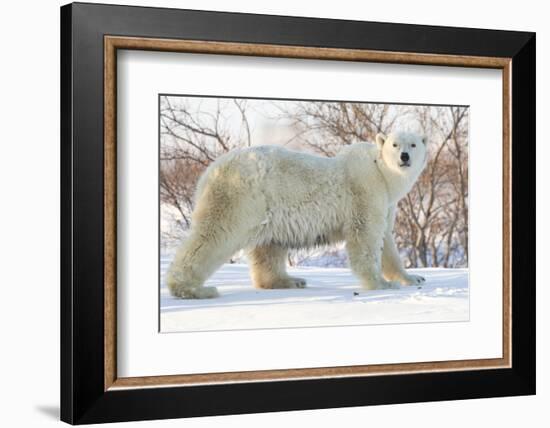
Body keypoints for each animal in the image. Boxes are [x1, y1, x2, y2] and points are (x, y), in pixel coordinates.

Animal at [166, 132, 430, 300]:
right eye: (394, 144)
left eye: (414, 144)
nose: (404, 156)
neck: (381, 172)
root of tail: (209, 172)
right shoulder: (365, 192)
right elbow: (366, 237)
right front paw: (381, 284)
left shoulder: (386, 202)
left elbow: (386, 240)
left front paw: (413, 278)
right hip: (239, 196)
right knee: (214, 235)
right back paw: (193, 289)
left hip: (266, 207)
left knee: (268, 246)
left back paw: (291, 280)